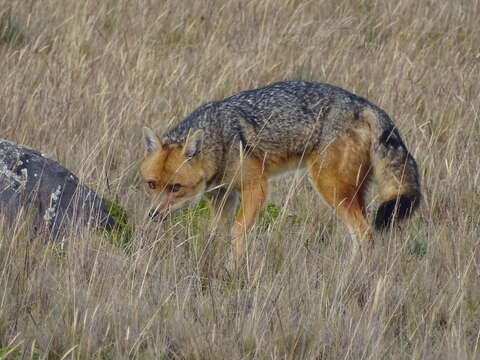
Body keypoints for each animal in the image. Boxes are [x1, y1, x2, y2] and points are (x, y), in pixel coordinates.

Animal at [140, 81, 420, 268]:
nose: (152, 214)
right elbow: (214, 236)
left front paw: (234, 268)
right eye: (151, 185)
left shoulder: (256, 186)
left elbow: (237, 231)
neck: (219, 139)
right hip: (352, 192)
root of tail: (364, 104)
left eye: (175, 188)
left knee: (365, 234)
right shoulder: (223, 197)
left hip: (330, 187)